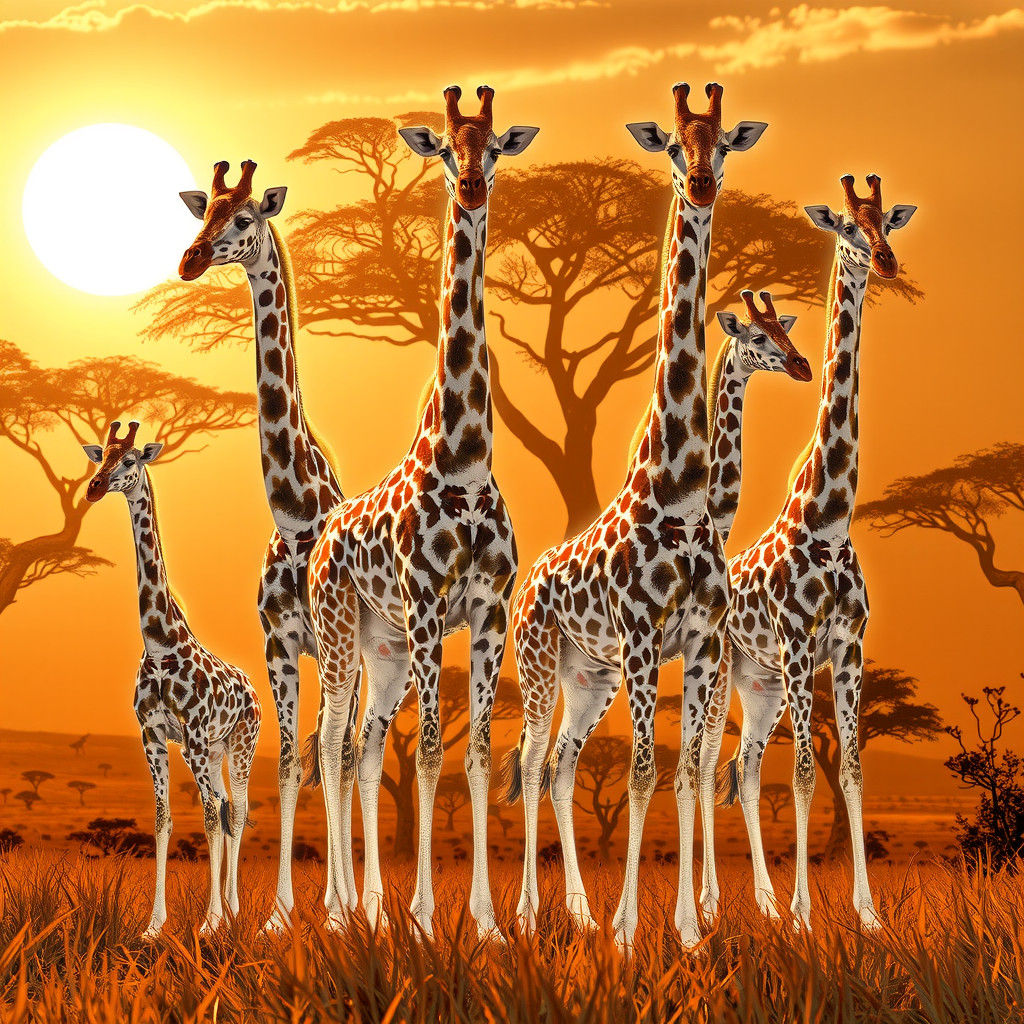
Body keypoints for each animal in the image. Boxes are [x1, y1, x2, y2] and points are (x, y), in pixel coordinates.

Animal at [83, 421, 261, 938]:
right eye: (101, 457)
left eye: (130, 460)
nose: (94, 487)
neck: (160, 645)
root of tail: (254, 690)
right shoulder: (155, 736)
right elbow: (163, 820)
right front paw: (154, 925)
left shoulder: (195, 736)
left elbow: (208, 819)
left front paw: (208, 924)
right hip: (214, 752)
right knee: (225, 807)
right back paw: (228, 909)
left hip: (239, 745)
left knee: (236, 808)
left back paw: (232, 909)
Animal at [305, 85, 538, 938]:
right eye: (442, 147)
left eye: (495, 146)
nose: (469, 186)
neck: (465, 459)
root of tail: (320, 541)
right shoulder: (433, 604)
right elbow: (434, 751)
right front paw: (429, 919)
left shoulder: (489, 609)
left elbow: (473, 755)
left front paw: (489, 923)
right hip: (342, 633)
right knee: (330, 741)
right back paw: (340, 911)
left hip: (389, 650)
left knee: (366, 748)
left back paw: (368, 906)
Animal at [503, 82, 767, 951]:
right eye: (674, 146)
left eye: (723, 144)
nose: (703, 184)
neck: (679, 488)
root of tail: (526, 585)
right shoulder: (649, 636)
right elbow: (647, 771)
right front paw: (628, 931)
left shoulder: (704, 642)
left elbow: (685, 773)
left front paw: (683, 927)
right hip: (543, 663)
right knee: (527, 761)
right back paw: (531, 915)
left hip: (592, 677)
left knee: (561, 766)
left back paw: (577, 913)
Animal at [699, 175, 917, 931]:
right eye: (848, 228)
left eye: (888, 223)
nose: (884, 261)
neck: (827, 516)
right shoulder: (798, 645)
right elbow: (800, 775)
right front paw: (803, 916)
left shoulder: (850, 648)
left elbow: (849, 770)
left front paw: (868, 916)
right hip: (732, 672)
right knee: (706, 764)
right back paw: (719, 903)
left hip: (760, 686)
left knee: (742, 766)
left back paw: (757, 902)